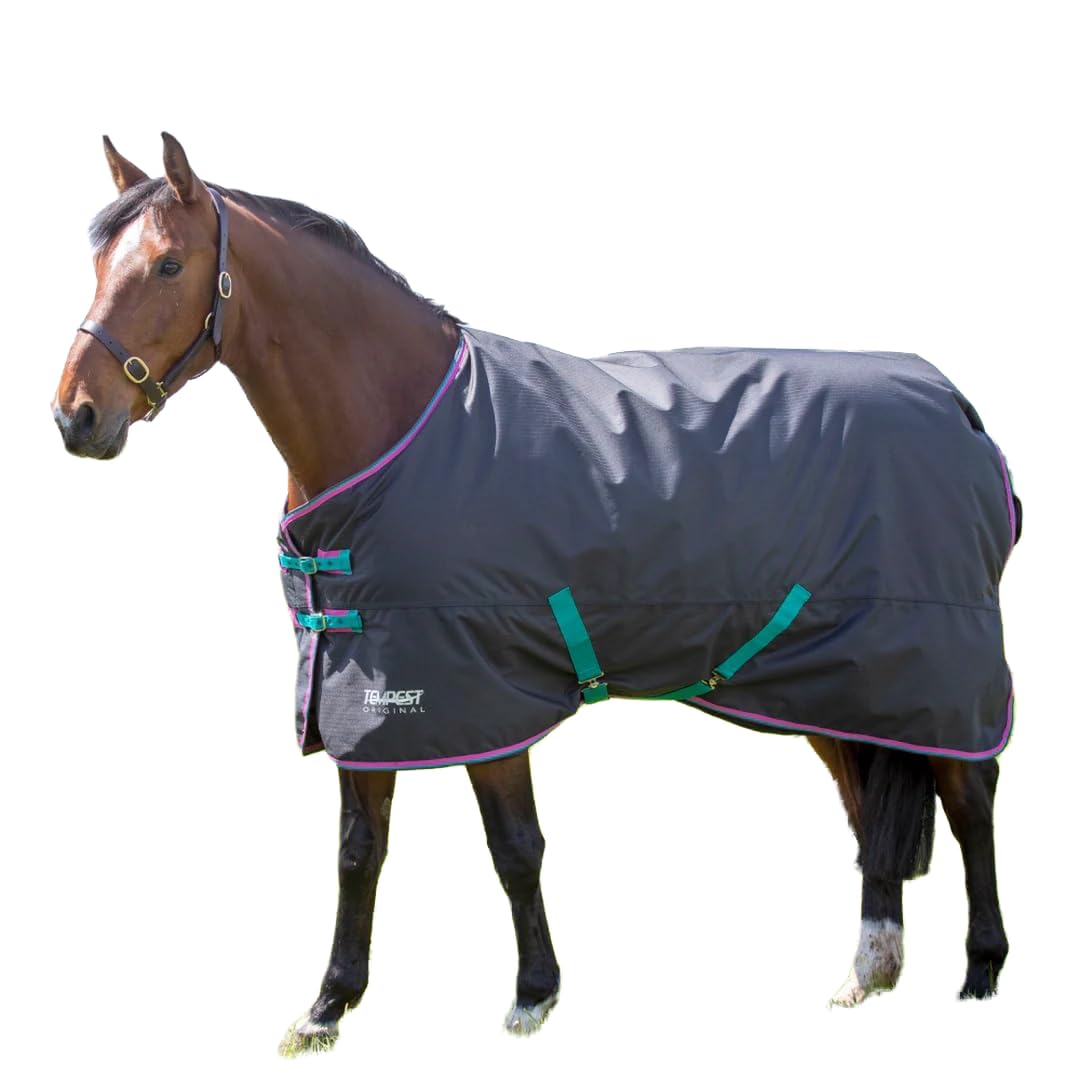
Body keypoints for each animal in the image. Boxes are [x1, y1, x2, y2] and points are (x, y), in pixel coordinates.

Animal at [52, 134, 1016, 1055]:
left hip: (939, 675)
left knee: (970, 799)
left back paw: (980, 972)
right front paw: (328, 1007)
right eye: (98, 263)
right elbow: (360, 852)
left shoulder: (482, 691)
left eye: (168, 265)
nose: (75, 416)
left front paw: (532, 995)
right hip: (839, 678)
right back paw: (868, 970)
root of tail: (957, 406)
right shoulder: (365, 688)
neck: (398, 430)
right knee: (865, 801)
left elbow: (514, 847)